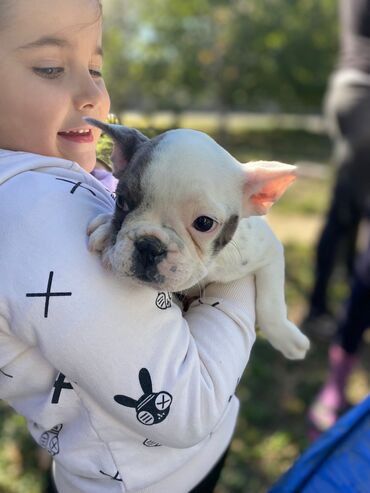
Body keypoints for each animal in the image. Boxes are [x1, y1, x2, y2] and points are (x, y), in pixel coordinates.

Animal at [86, 117, 310, 360]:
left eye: (204, 223)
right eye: (121, 201)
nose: (149, 246)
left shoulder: (269, 251)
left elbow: (271, 303)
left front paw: (287, 338)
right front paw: (105, 230)